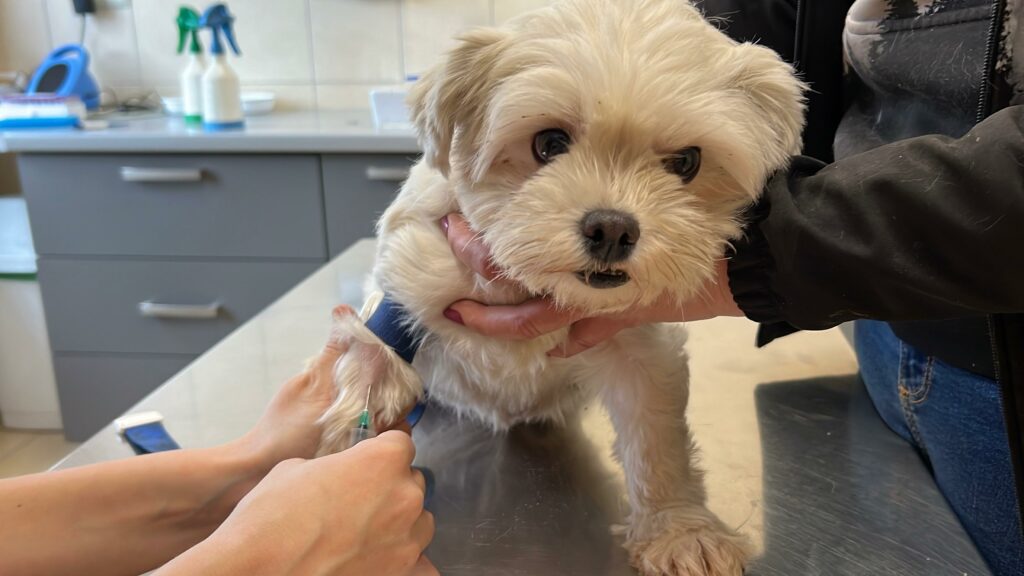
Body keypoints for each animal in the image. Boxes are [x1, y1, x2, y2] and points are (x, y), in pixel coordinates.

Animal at [317, 0, 804, 573]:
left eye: (687, 161)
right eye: (548, 143)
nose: (612, 229)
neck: (533, 282)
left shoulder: (638, 347)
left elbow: (657, 444)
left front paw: (679, 530)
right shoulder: (407, 285)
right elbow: (371, 363)